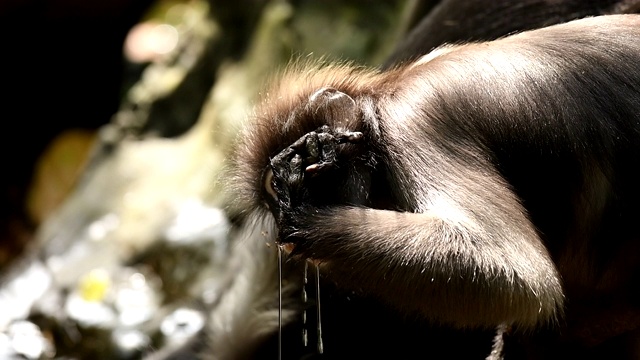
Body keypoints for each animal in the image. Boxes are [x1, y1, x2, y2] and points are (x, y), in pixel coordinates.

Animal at [228, 13, 640, 358]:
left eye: (281, 181)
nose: (281, 212)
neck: (382, 96)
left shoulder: (414, 121)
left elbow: (520, 274)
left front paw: (307, 225)